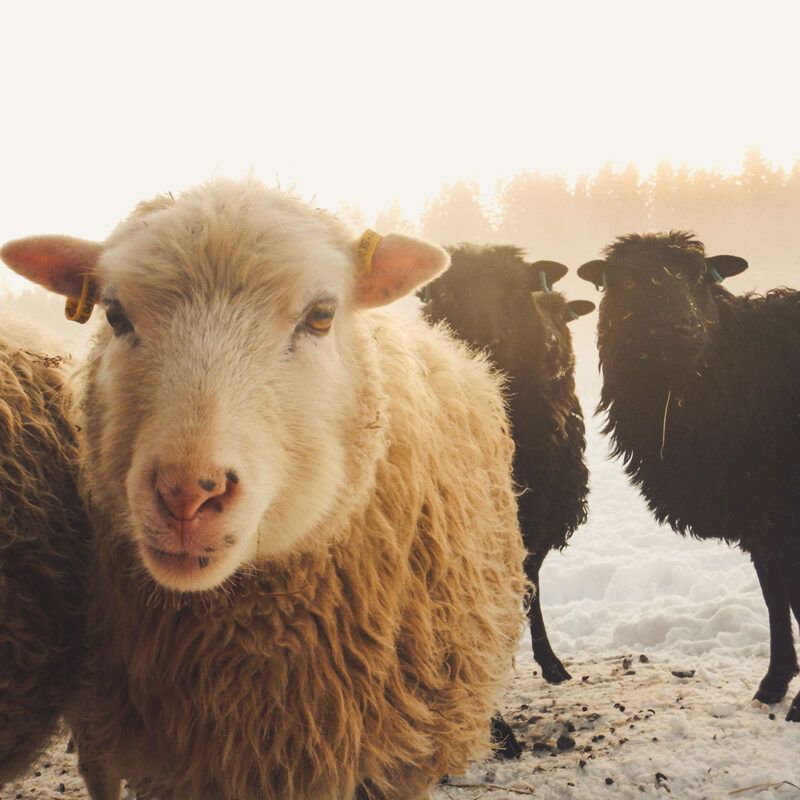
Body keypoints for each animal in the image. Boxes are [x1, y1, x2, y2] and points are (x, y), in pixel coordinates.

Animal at [420, 245, 594, 687]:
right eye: (444, 294)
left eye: (515, 291)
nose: (485, 343)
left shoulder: (539, 508)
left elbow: (528, 578)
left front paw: (549, 661)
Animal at [577, 231, 800, 722]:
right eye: (630, 281)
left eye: (700, 277)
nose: (686, 328)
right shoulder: (759, 515)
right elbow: (775, 596)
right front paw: (775, 683)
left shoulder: (782, 516)